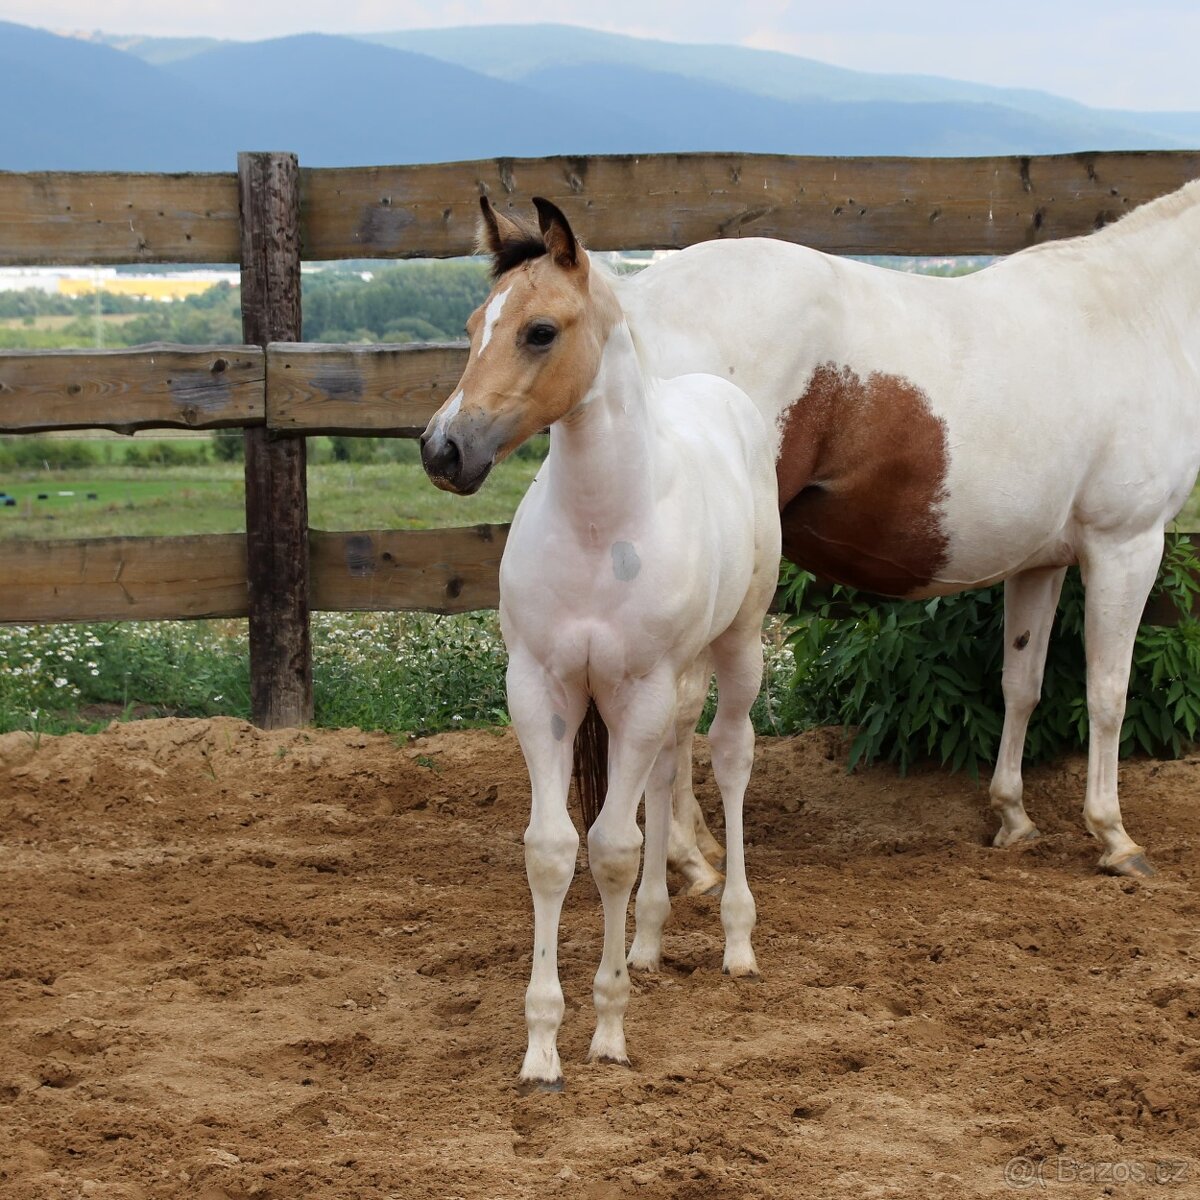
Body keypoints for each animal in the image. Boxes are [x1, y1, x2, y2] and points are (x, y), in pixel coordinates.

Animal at [421, 197, 781, 1087]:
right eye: (475, 324)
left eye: (540, 331)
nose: (443, 449)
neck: (599, 526)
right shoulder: (541, 688)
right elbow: (554, 849)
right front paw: (542, 1045)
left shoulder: (637, 689)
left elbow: (613, 849)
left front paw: (610, 1030)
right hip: (668, 689)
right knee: (667, 768)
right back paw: (649, 939)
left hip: (736, 648)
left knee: (729, 757)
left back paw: (736, 938)